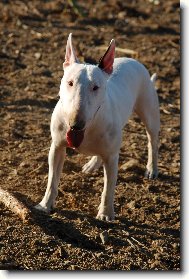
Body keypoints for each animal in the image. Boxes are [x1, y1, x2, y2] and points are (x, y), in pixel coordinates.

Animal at [35, 33, 159, 221]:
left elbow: (108, 188)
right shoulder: (56, 147)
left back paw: (152, 168)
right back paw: (92, 164)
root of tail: (131, 59)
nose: (76, 124)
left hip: (149, 113)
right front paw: (45, 205)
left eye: (95, 87)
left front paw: (106, 214)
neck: (88, 127)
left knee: (152, 140)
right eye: (70, 83)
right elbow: (52, 180)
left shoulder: (112, 158)